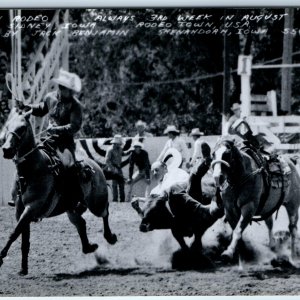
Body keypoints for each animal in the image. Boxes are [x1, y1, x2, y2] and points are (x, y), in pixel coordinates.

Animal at [0, 109, 116, 274]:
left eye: (22, 128)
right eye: (7, 126)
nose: (6, 150)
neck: (31, 170)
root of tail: (95, 166)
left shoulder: (32, 207)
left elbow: (14, 233)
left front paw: (0, 257)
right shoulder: (20, 210)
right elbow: (23, 238)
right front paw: (23, 268)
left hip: (96, 204)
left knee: (105, 212)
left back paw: (110, 237)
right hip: (71, 209)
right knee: (81, 223)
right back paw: (89, 247)